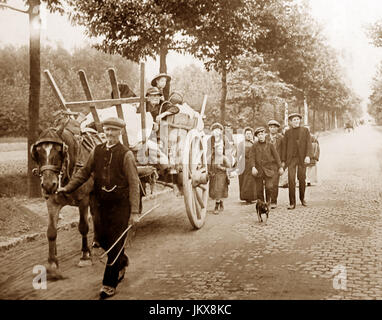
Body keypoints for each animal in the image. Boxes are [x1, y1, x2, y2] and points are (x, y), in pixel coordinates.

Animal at [31, 115, 103, 280]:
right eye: (37, 152)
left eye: (59, 151)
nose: (48, 185)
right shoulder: (51, 202)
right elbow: (51, 231)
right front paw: (52, 264)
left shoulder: (83, 200)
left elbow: (83, 226)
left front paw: (85, 256)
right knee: (96, 214)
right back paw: (96, 241)